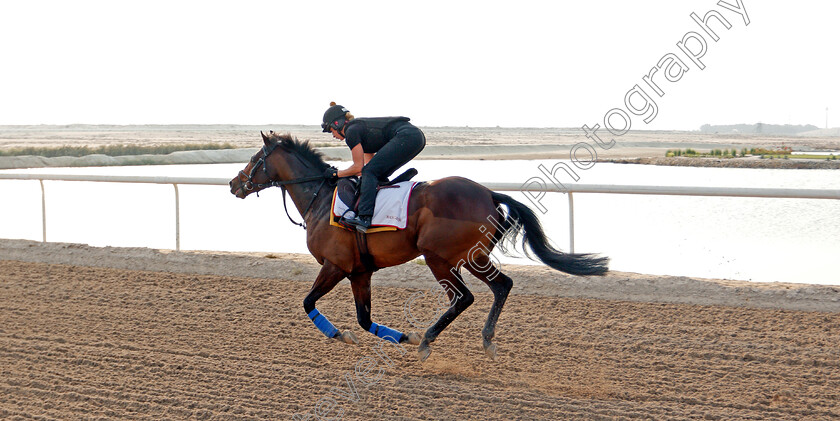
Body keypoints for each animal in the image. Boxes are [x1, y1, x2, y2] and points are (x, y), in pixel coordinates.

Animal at [230, 132, 612, 360]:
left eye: (254, 158)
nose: (235, 184)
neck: (321, 199)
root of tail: (489, 193)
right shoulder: (360, 272)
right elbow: (364, 319)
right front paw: (403, 338)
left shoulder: (335, 266)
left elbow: (309, 302)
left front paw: (341, 335)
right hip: (473, 257)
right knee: (502, 285)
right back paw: (485, 341)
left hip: (437, 256)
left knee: (464, 297)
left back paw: (429, 340)